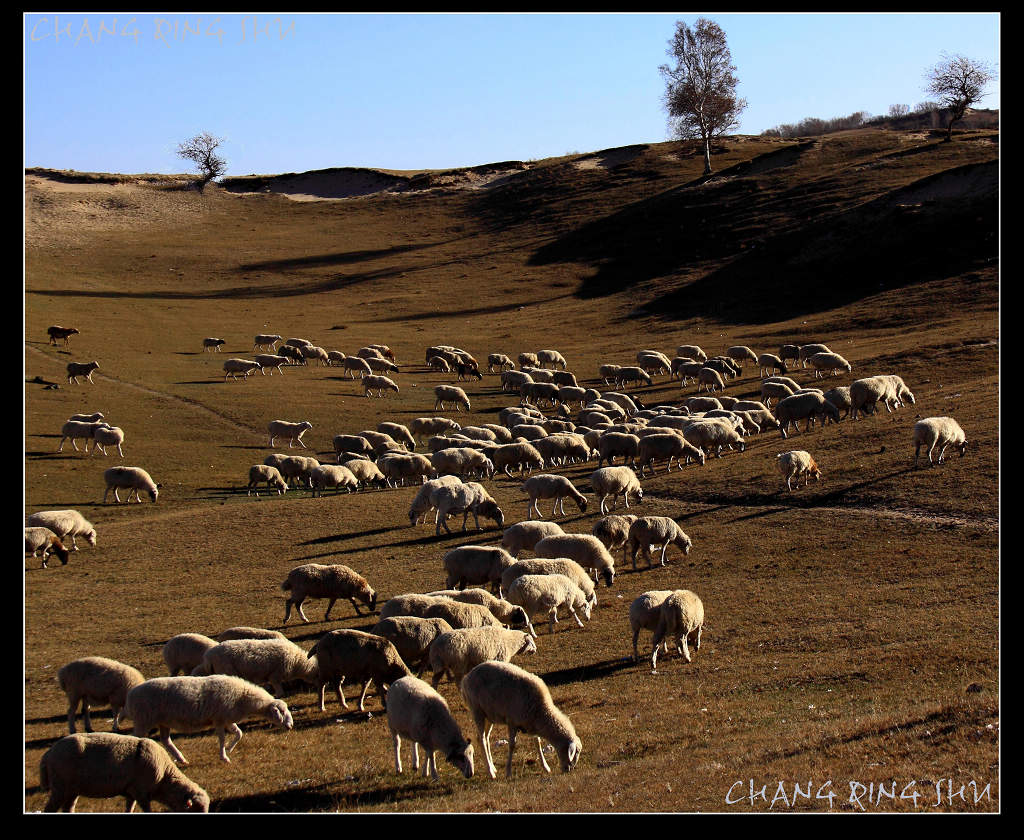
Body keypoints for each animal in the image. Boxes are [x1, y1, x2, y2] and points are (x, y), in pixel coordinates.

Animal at [37, 733, 209, 811]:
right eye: (197, 810)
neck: (165, 779)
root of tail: (48, 754)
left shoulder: (131, 792)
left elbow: (129, 809)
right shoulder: (141, 792)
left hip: (71, 790)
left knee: (68, 808)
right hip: (60, 787)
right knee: (49, 809)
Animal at [124, 672, 292, 766]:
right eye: (282, 712)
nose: (290, 726)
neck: (244, 697)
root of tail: (130, 695)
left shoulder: (227, 719)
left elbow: (239, 733)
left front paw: (229, 749)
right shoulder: (219, 719)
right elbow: (222, 738)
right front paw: (224, 757)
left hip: (163, 722)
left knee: (166, 740)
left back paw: (181, 759)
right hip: (144, 719)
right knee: (135, 738)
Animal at [190, 639, 321, 700]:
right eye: (317, 675)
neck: (297, 662)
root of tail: (208, 657)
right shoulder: (275, 674)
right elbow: (278, 688)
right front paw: (278, 695)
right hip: (226, 669)